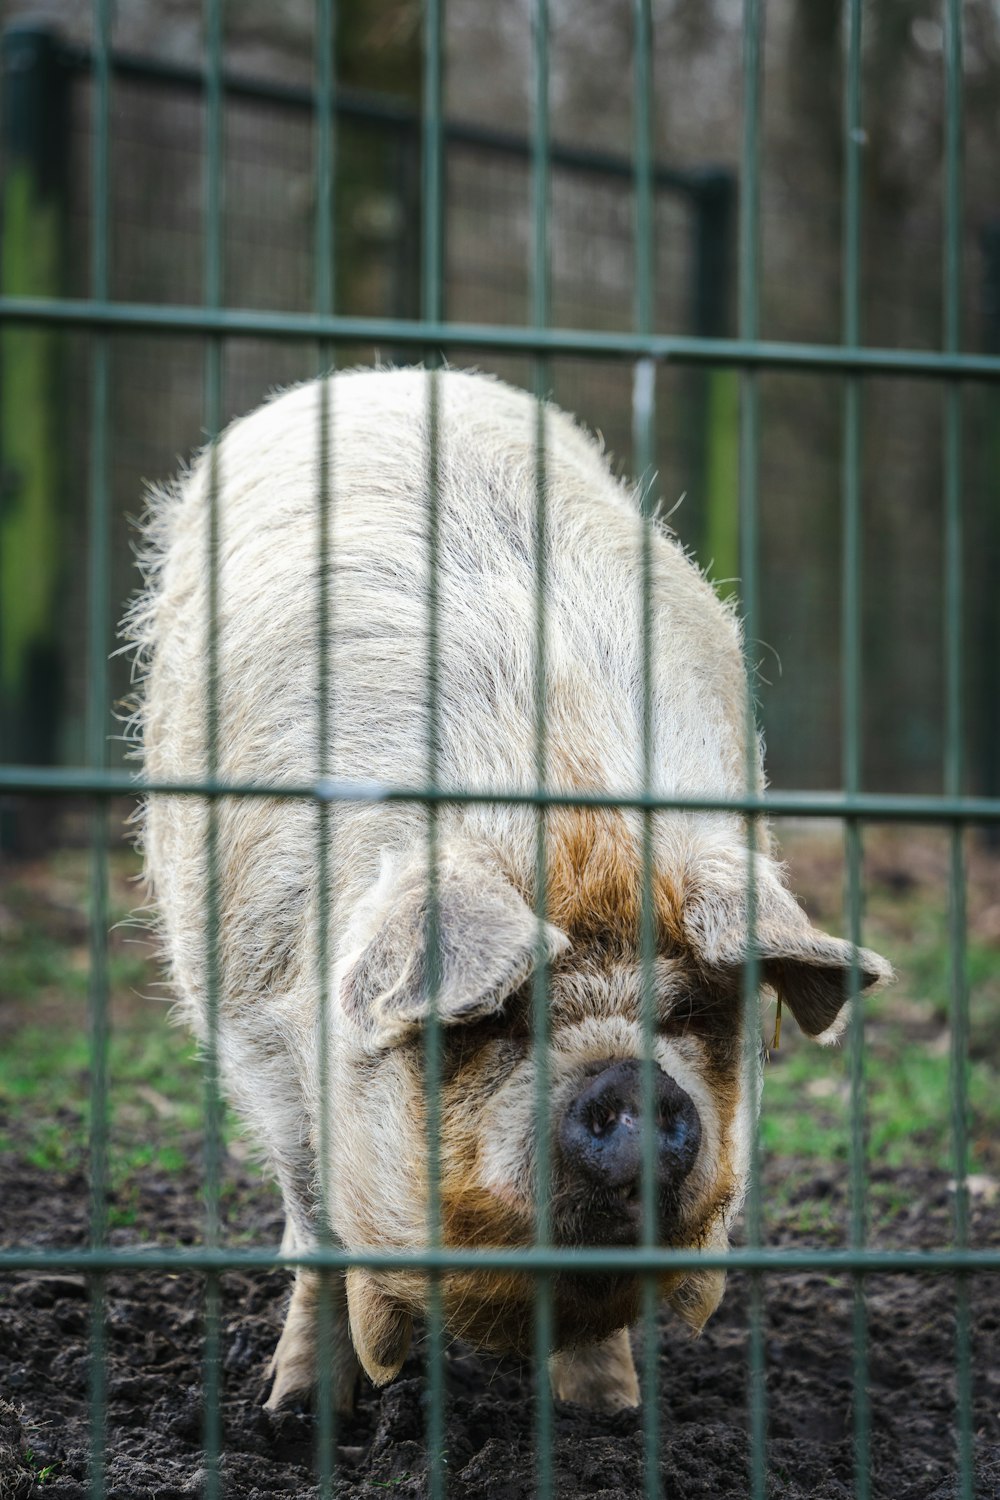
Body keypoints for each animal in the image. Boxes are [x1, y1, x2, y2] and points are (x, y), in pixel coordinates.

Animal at [125, 366, 893, 1416]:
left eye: (690, 1011)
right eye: (494, 1019)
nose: (631, 1079)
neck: (572, 820)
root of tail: (390, 372)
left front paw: (608, 1414)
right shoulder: (258, 1029)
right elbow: (318, 1229)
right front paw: (297, 1413)